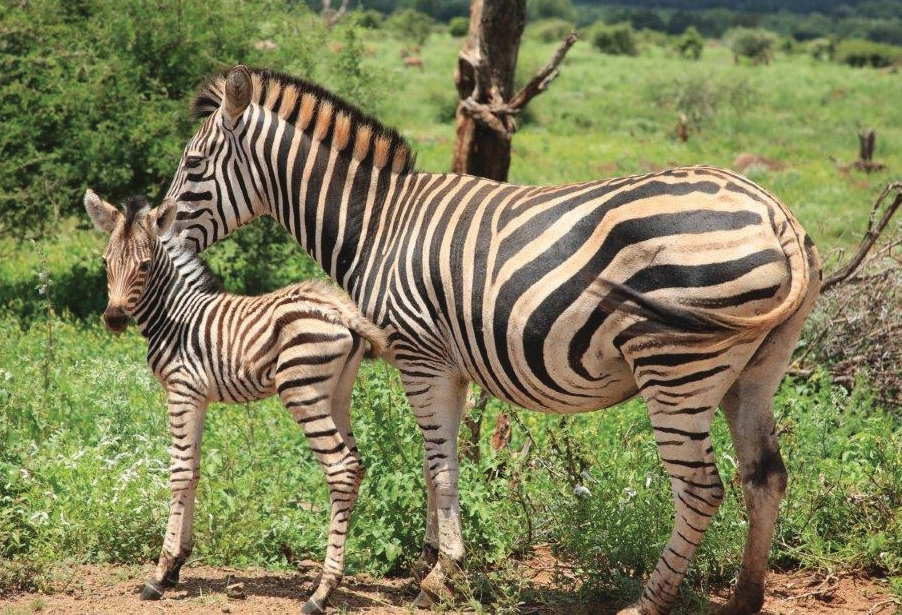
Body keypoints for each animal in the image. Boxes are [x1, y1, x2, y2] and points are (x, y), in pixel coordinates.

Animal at [84, 189, 387, 614]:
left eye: (144, 265)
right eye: (105, 262)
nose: (113, 319)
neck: (174, 316)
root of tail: (339, 308)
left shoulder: (181, 391)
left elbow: (179, 472)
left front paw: (159, 575)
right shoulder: (198, 397)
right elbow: (194, 471)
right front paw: (177, 565)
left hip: (302, 391)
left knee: (341, 467)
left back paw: (321, 592)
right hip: (338, 395)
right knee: (356, 465)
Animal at [160, 65, 822, 614]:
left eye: (192, 167)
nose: (159, 231)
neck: (378, 225)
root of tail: (775, 213)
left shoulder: (419, 355)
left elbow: (439, 466)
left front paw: (441, 574)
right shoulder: (445, 365)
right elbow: (438, 463)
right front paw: (432, 561)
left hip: (676, 367)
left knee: (701, 488)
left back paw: (648, 602)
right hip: (754, 370)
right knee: (764, 476)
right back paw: (745, 599)